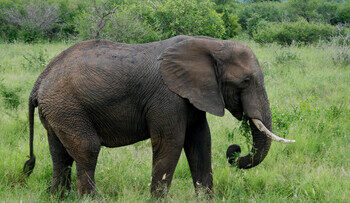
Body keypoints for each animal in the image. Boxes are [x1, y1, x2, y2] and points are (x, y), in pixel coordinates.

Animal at [23, 35, 294, 198]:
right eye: (246, 81)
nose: (235, 150)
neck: (209, 45)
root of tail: (39, 81)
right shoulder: (167, 97)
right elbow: (170, 143)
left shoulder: (192, 95)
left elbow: (200, 142)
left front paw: (206, 199)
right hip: (67, 107)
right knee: (87, 149)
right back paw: (92, 199)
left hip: (57, 111)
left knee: (60, 155)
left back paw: (58, 197)